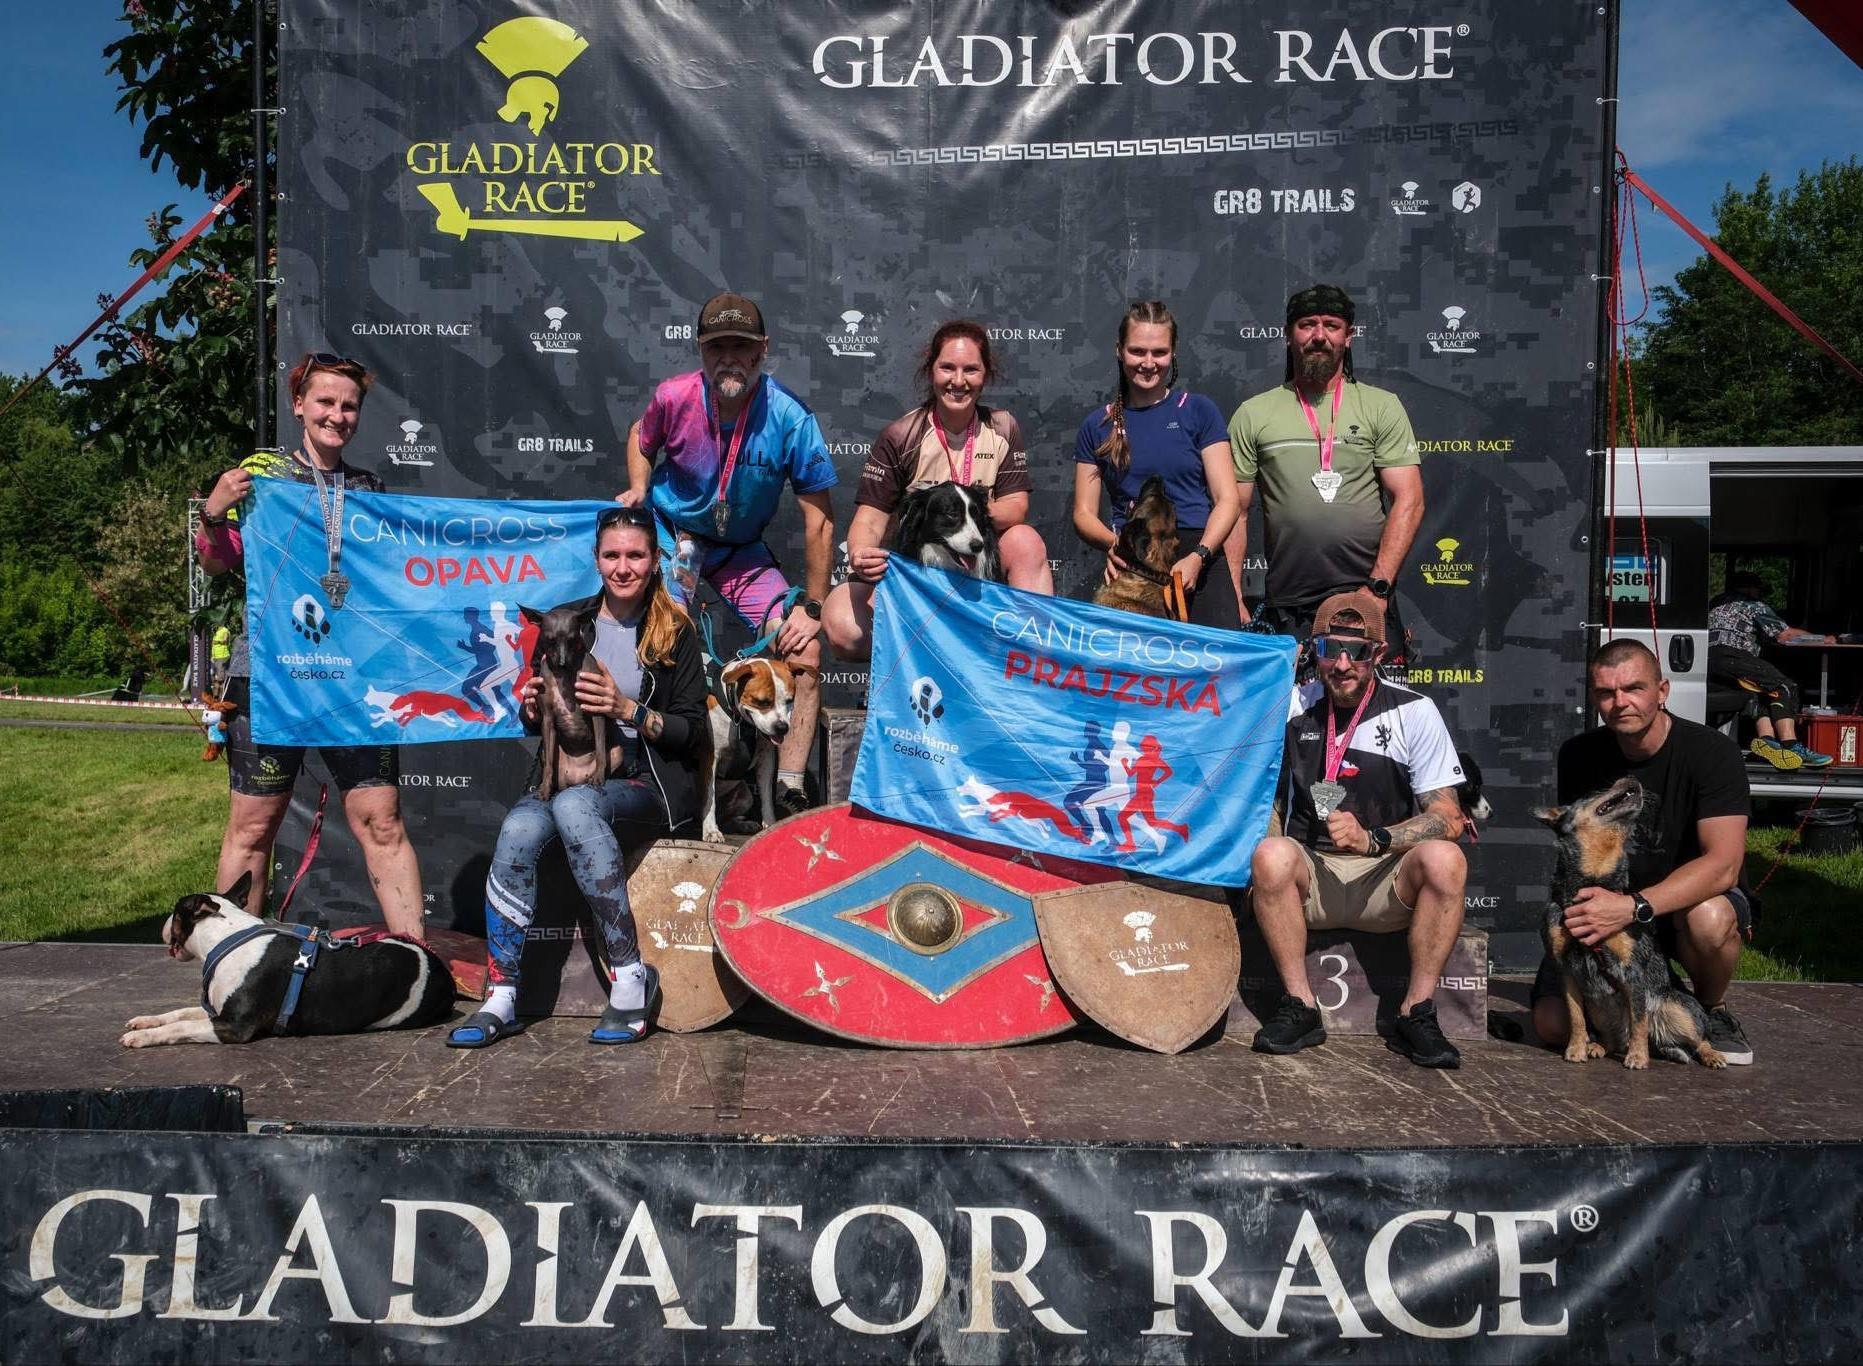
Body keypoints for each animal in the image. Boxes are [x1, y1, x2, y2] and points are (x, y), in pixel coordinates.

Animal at [120, 872, 456, 1047]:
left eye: (176, 913)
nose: (164, 925)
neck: (227, 938)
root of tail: (439, 965)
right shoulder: (218, 1010)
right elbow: (180, 1014)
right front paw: (145, 1021)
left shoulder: (235, 1026)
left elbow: (183, 1027)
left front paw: (144, 1037)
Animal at [520, 601, 608, 800]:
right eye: (550, 639)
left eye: (572, 638)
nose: (562, 663)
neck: (563, 677)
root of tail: (576, 779)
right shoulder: (547, 720)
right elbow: (548, 767)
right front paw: (544, 789)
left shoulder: (597, 711)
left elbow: (601, 750)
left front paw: (599, 777)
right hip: (548, 752)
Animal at [701, 655, 797, 841]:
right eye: (762, 702)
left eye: (790, 701)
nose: (782, 727)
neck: (741, 722)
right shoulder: (710, 758)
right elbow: (710, 797)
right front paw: (710, 830)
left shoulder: (766, 761)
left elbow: (766, 796)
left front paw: (771, 825)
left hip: (745, 794)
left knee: (727, 818)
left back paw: (743, 824)